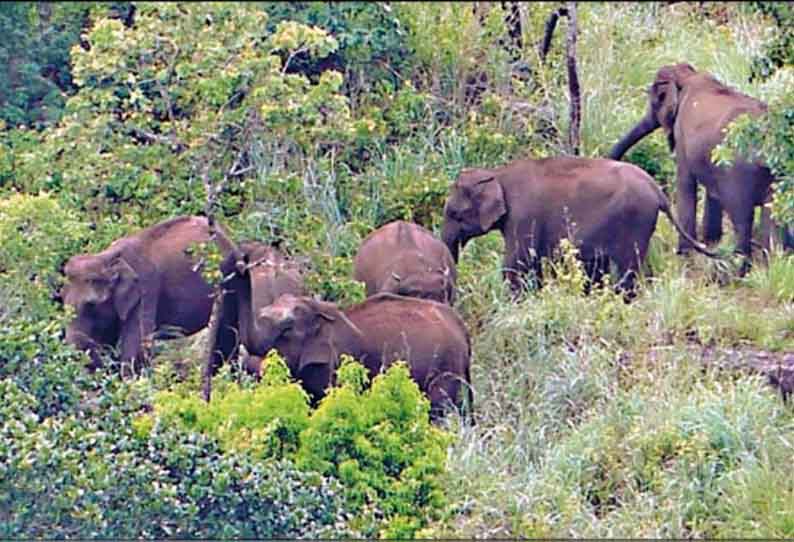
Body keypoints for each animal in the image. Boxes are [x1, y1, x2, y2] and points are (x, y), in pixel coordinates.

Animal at [440, 157, 716, 298]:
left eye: (453, 213)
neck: (497, 173)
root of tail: (657, 189)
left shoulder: (523, 215)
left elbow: (518, 261)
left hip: (636, 217)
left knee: (628, 266)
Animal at [608, 63, 776, 274]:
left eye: (656, 101)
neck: (687, 75)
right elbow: (712, 193)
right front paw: (710, 243)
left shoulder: (682, 134)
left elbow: (685, 182)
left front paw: (684, 255)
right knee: (771, 215)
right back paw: (770, 266)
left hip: (740, 172)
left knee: (742, 217)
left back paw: (737, 270)